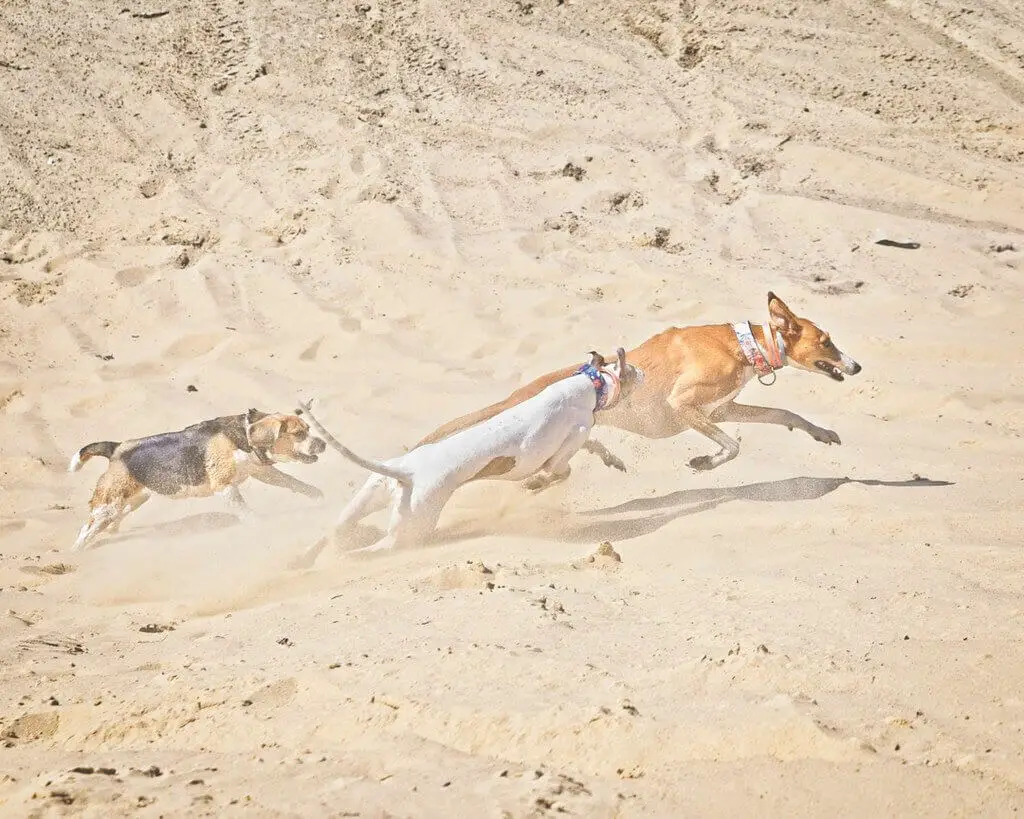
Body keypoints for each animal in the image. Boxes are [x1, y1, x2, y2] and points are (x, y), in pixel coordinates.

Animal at [69, 409, 323, 548]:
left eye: (308, 429)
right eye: (298, 434)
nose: (322, 443)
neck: (242, 435)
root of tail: (116, 448)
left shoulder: (261, 472)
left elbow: (294, 483)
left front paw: (318, 495)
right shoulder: (225, 487)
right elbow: (247, 512)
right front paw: (262, 526)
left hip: (131, 502)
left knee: (109, 523)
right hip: (109, 504)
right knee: (85, 531)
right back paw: (77, 553)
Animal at [294, 348, 638, 561]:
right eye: (634, 370)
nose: (644, 373)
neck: (588, 384)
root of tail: (407, 473)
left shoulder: (578, 439)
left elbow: (595, 446)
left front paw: (613, 460)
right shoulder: (561, 451)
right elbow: (559, 471)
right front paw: (535, 485)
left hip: (370, 496)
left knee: (335, 528)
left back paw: (308, 559)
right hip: (415, 523)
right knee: (383, 547)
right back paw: (348, 558)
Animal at [419, 292, 860, 472]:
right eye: (827, 341)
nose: (856, 366)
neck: (744, 344)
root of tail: (516, 395)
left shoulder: (723, 408)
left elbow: (784, 414)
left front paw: (821, 432)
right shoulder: (684, 405)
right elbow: (733, 446)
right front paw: (707, 462)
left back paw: (607, 457)